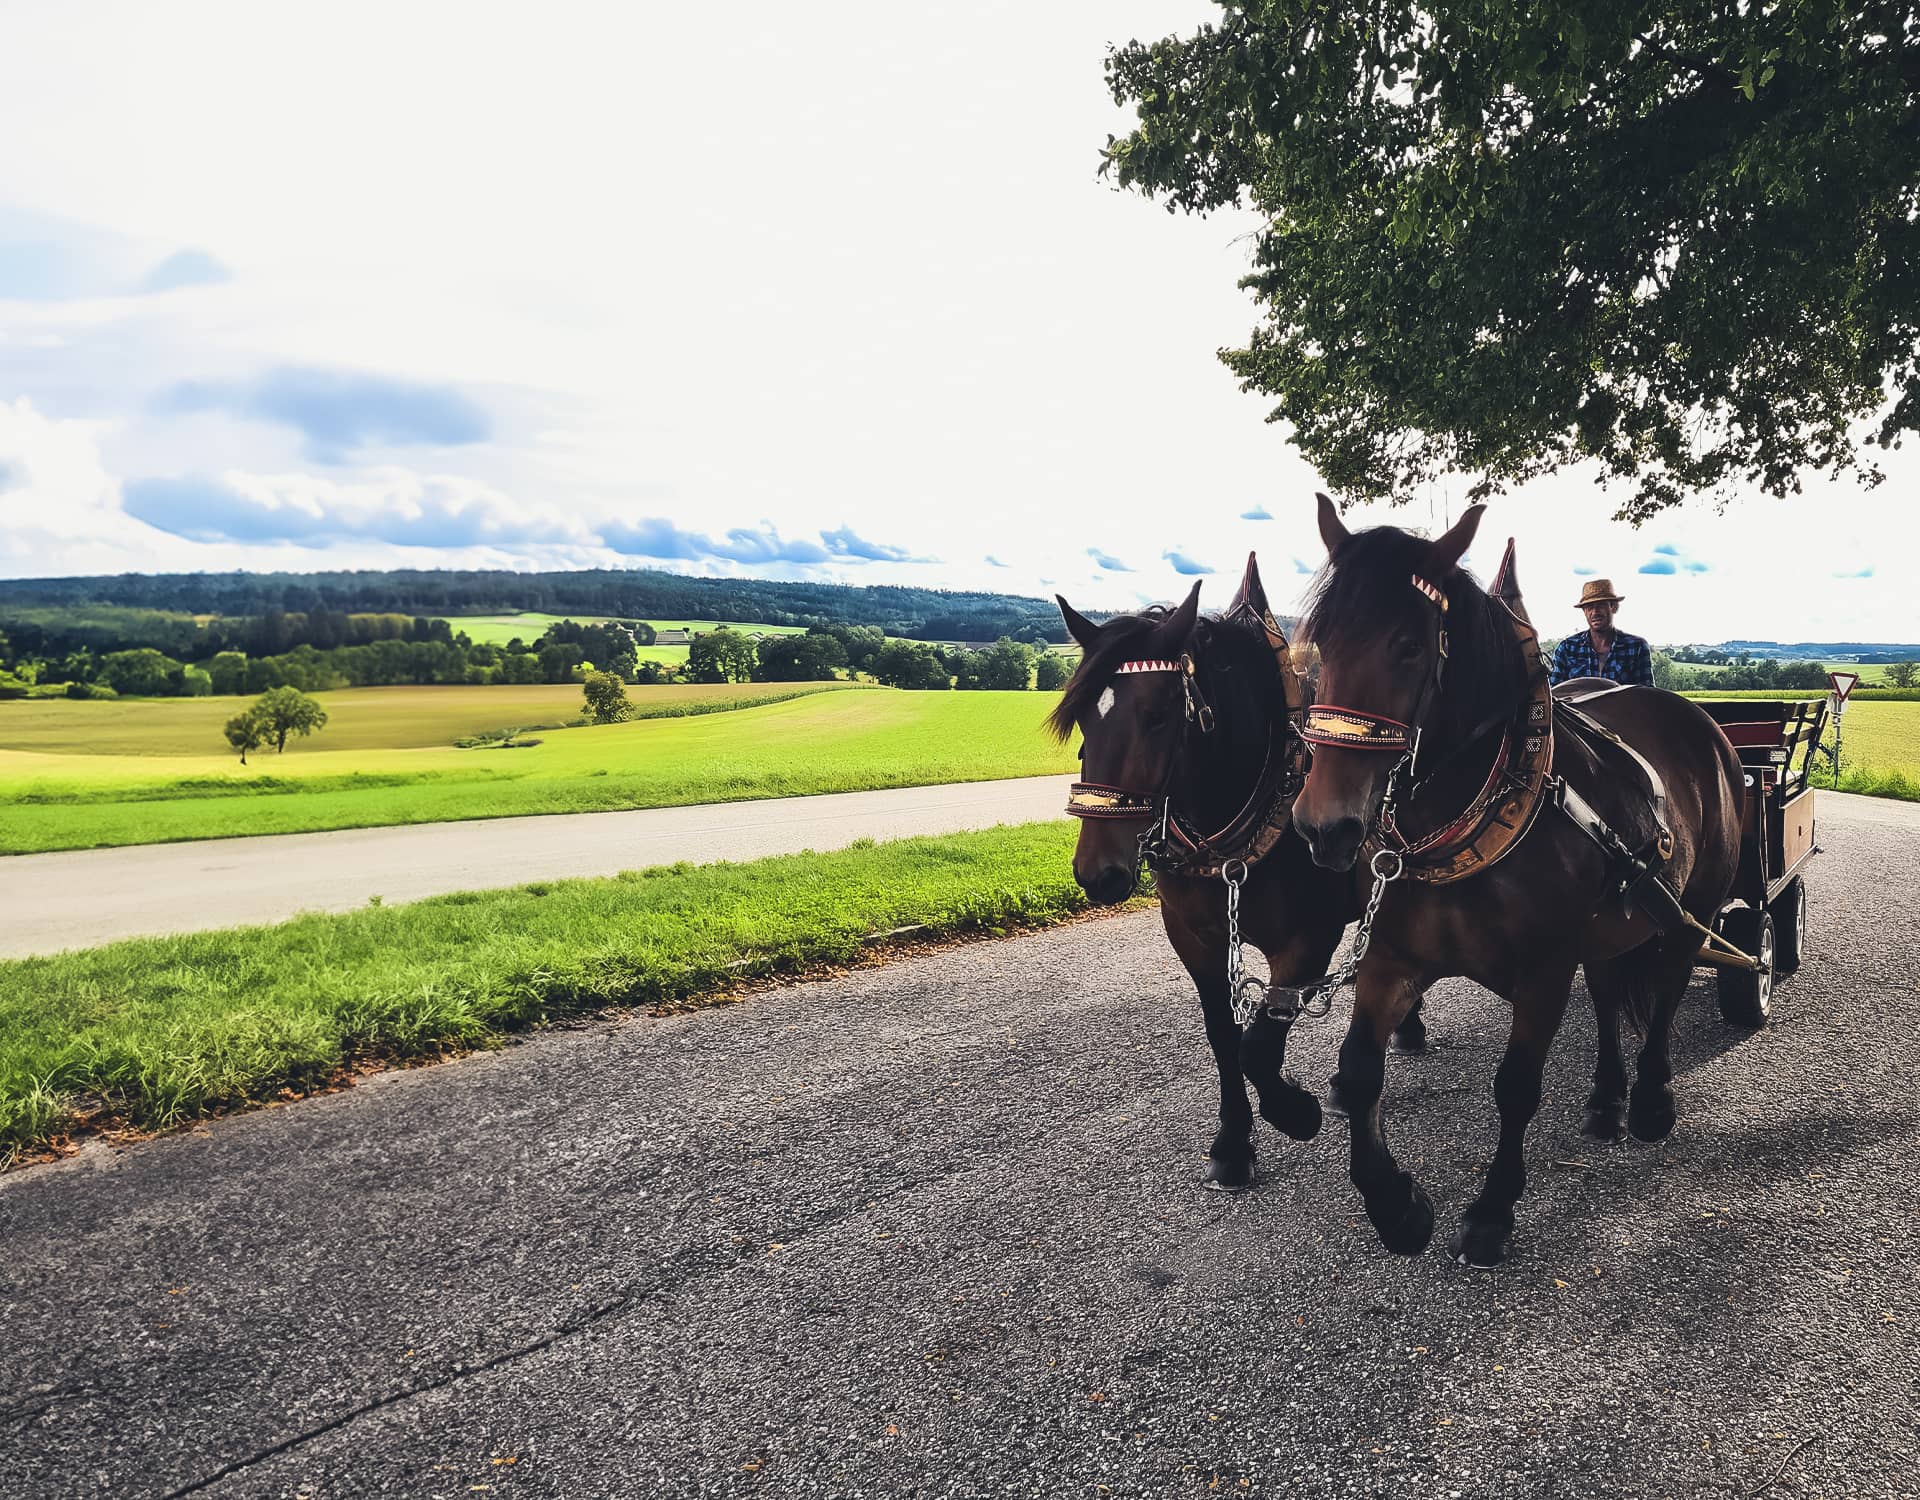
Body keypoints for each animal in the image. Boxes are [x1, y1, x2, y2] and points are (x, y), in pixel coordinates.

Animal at [1052, 568, 1428, 1190]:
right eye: (1083, 717)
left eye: (1158, 715)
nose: (1097, 872)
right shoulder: (1194, 938)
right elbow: (1226, 1037)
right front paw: (1232, 1143)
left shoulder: (1308, 941)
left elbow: (1260, 1043)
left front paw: (1295, 1112)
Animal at [1290, 495, 1758, 1267]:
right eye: (1319, 643)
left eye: (1409, 646)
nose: (1324, 826)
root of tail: (1703, 725)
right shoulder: (1390, 959)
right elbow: (1358, 1073)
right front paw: (1397, 1207)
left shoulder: (1543, 970)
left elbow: (1515, 1087)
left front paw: (1491, 1211)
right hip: (1612, 927)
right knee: (1609, 992)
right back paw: (1606, 1098)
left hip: (1693, 905)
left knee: (1664, 988)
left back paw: (1650, 1100)